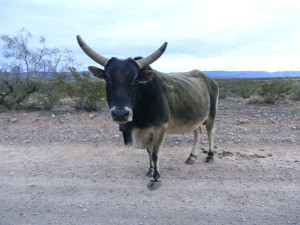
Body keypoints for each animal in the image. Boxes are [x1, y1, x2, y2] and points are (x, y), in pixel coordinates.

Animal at [77, 35, 218, 190]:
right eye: (107, 79)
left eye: (135, 80)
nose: (120, 114)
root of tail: (209, 78)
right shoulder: (146, 131)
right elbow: (149, 152)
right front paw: (150, 171)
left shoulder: (160, 128)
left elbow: (155, 154)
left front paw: (156, 179)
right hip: (195, 118)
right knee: (197, 134)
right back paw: (191, 157)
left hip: (211, 115)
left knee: (210, 133)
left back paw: (210, 156)